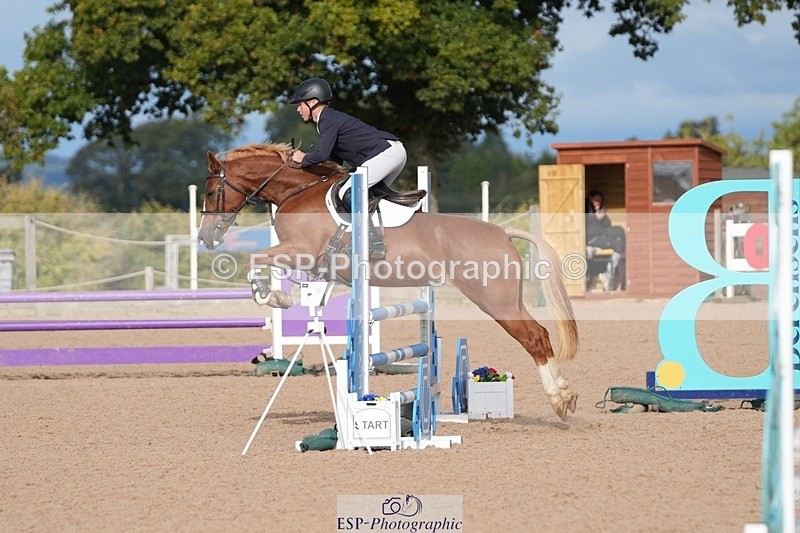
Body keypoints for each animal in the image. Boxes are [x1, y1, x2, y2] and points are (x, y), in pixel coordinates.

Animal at [198, 143, 579, 420]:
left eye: (210, 191)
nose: (205, 238)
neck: (298, 191)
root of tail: (502, 233)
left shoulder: (300, 251)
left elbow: (256, 258)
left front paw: (272, 297)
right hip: (508, 300)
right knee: (541, 334)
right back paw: (566, 395)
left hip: (495, 301)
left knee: (534, 337)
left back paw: (559, 401)